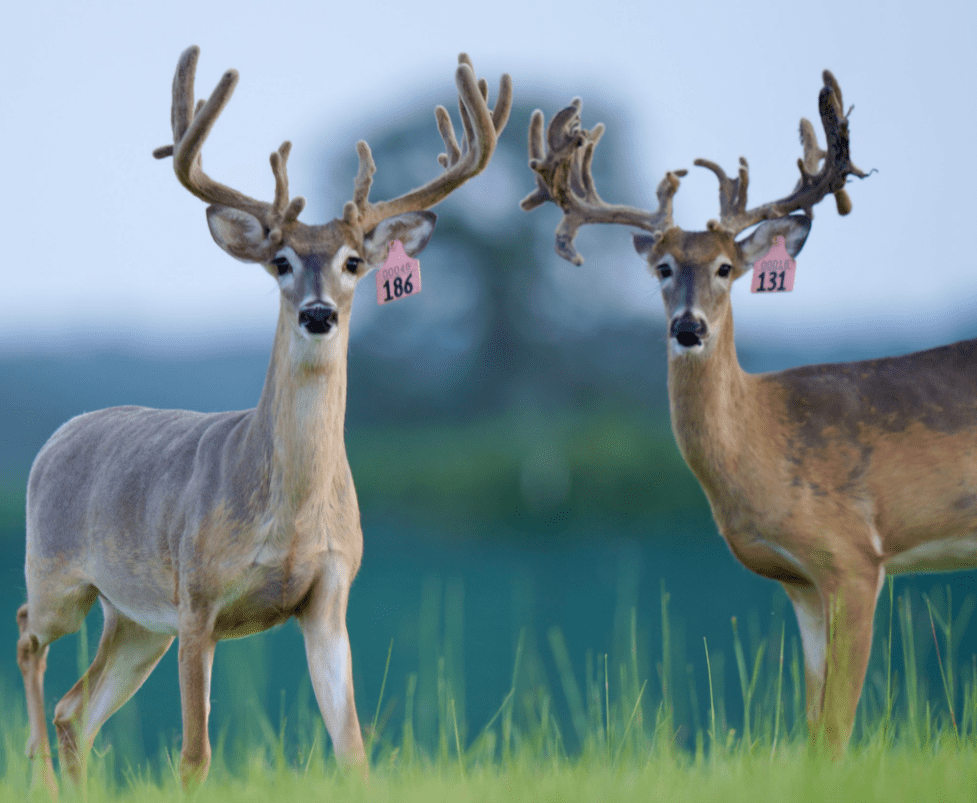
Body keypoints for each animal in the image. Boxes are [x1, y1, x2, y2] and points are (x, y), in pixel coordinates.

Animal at [16, 45, 511, 795]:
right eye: (280, 260)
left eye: (354, 261)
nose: (318, 312)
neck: (290, 512)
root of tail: (56, 437)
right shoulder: (198, 596)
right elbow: (194, 755)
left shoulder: (330, 595)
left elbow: (352, 748)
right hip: (60, 577)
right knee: (27, 637)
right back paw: (38, 770)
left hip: (135, 619)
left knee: (78, 707)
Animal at [522, 71, 977, 751]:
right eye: (662, 268)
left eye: (725, 267)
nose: (688, 328)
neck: (766, 435)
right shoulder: (802, 582)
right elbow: (814, 727)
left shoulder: (855, 557)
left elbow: (836, 729)